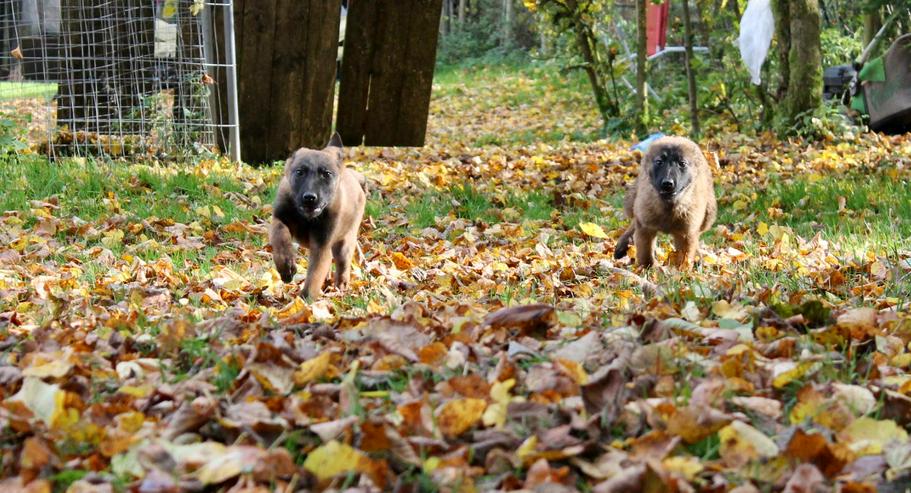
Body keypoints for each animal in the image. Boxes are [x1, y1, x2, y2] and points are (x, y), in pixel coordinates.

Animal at [270, 133, 366, 298]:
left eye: (326, 174)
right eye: (300, 172)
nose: (309, 198)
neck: (307, 219)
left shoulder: (322, 245)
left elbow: (314, 275)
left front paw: (304, 300)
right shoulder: (279, 219)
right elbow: (280, 236)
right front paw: (286, 266)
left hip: (344, 243)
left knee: (342, 266)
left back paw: (340, 287)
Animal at [616, 135, 716, 270]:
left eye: (682, 164)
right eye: (659, 162)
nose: (667, 184)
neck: (669, 206)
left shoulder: (686, 233)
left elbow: (685, 255)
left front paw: (682, 271)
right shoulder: (646, 227)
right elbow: (645, 251)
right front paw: (646, 268)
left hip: (708, 215)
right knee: (634, 222)